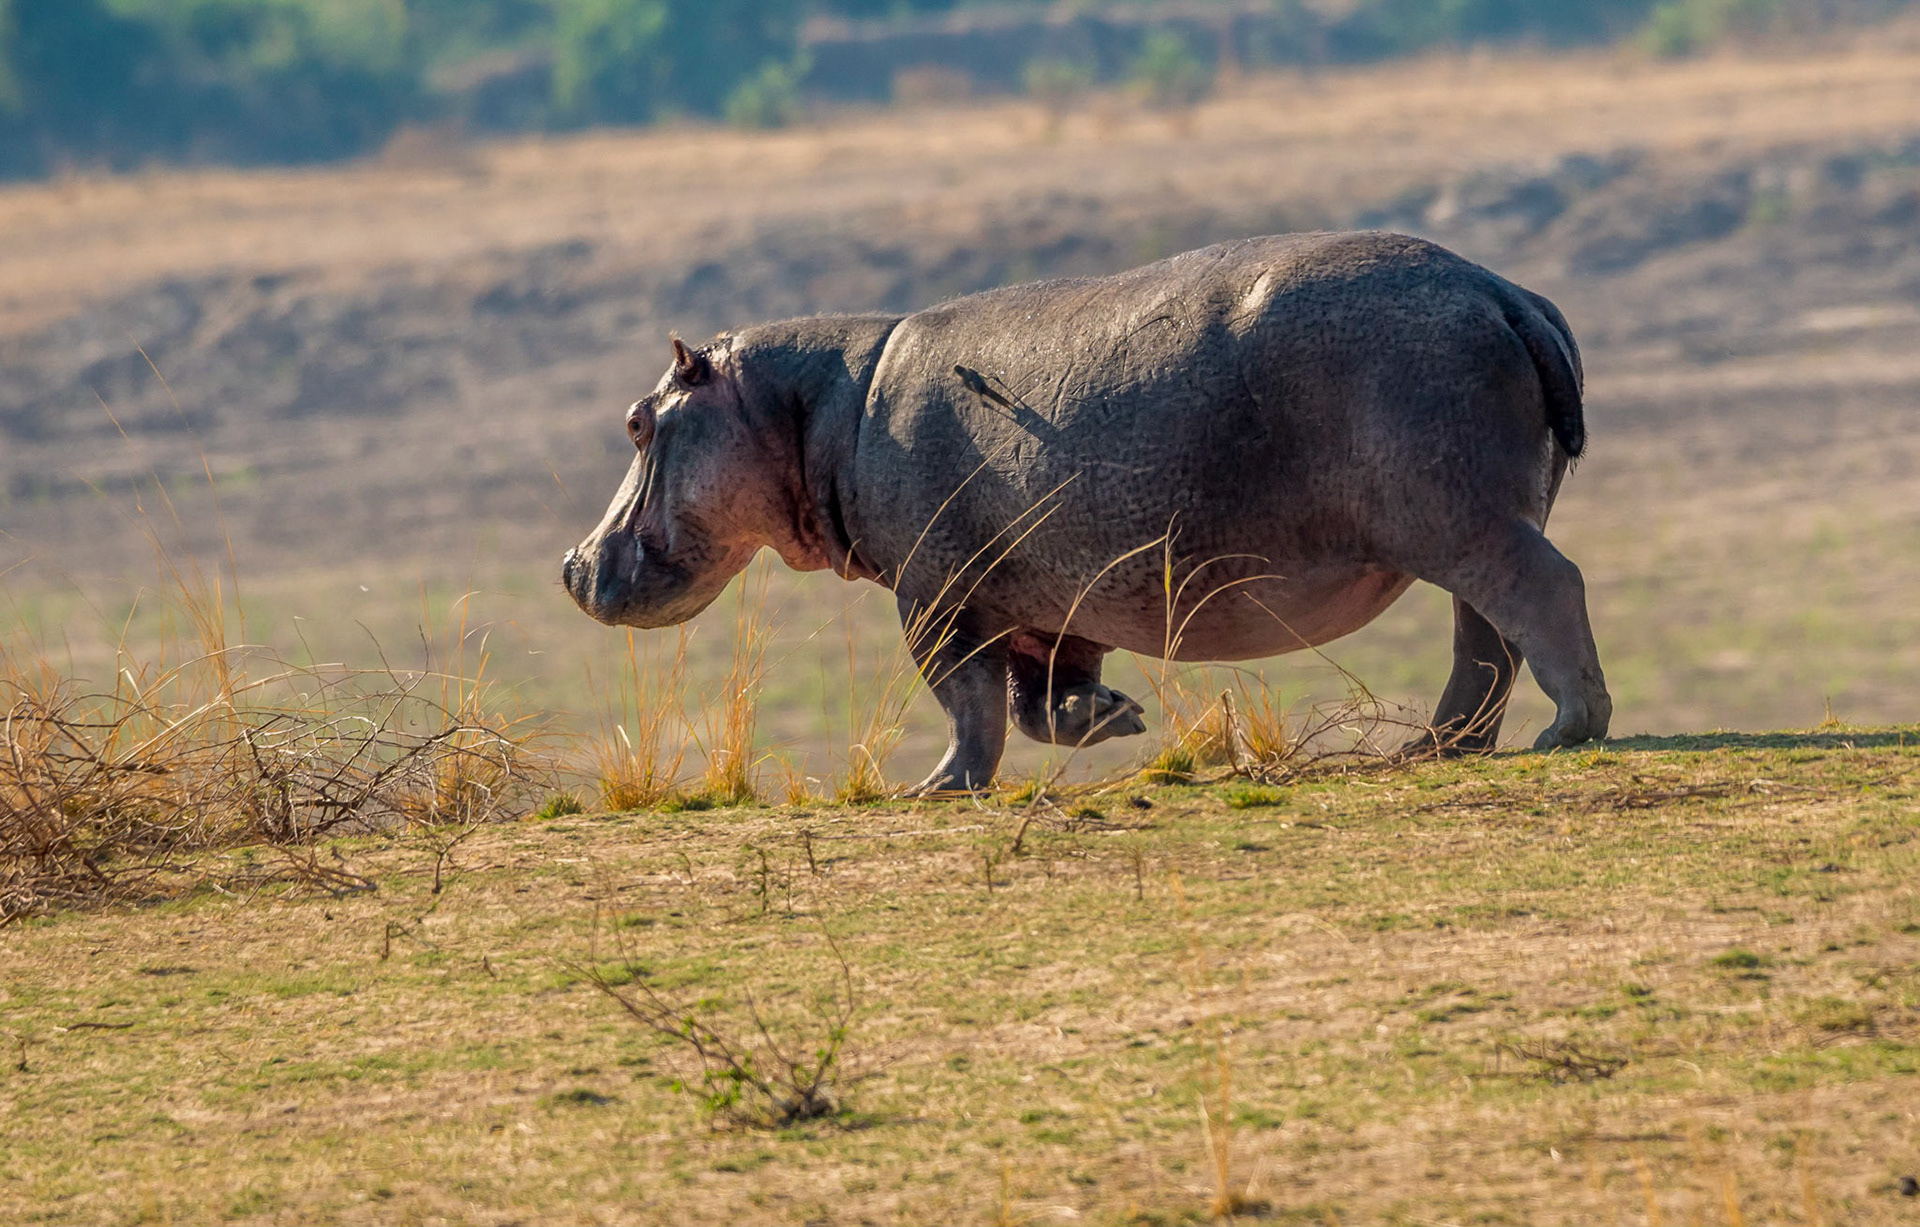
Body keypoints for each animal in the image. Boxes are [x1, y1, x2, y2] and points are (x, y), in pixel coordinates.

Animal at [563, 231, 1611, 793]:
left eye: (637, 420)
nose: (573, 565)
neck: (812, 404)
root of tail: (1507, 292)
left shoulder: (934, 595)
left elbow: (967, 701)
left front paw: (935, 789)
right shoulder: (1048, 605)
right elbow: (1038, 705)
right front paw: (1116, 718)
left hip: (1457, 517)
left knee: (1543, 591)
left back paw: (1567, 730)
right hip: (1475, 519)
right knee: (1486, 636)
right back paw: (1432, 748)